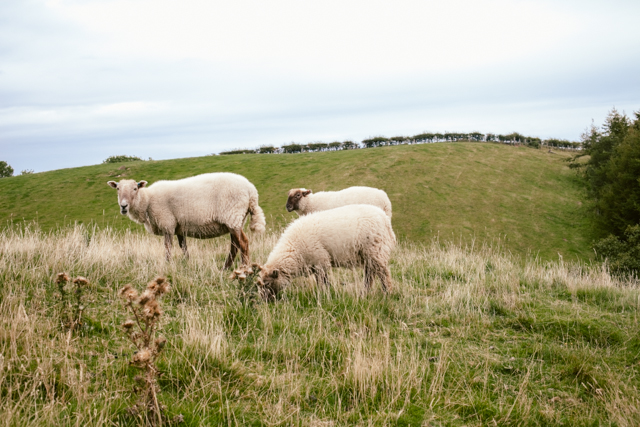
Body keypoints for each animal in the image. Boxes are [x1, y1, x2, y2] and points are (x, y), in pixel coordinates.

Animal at [107, 172, 264, 270]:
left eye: (135, 188)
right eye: (118, 189)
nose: (123, 206)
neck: (147, 200)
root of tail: (252, 192)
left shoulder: (167, 224)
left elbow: (168, 247)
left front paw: (167, 264)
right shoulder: (179, 228)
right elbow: (183, 247)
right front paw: (187, 263)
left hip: (233, 216)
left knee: (243, 243)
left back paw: (244, 267)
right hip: (235, 220)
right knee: (234, 246)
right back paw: (224, 268)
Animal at [255, 205, 396, 300]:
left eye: (267, 283)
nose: (264, 300)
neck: (294, 250)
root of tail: (385, 219)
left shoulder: (320, 261)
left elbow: (323, 282)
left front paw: (325, 294)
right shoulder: (317, 264)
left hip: (375, 250)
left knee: (383, 273)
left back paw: (388, 292)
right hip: (369, 255)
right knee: (370, 274)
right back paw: (364, 293)